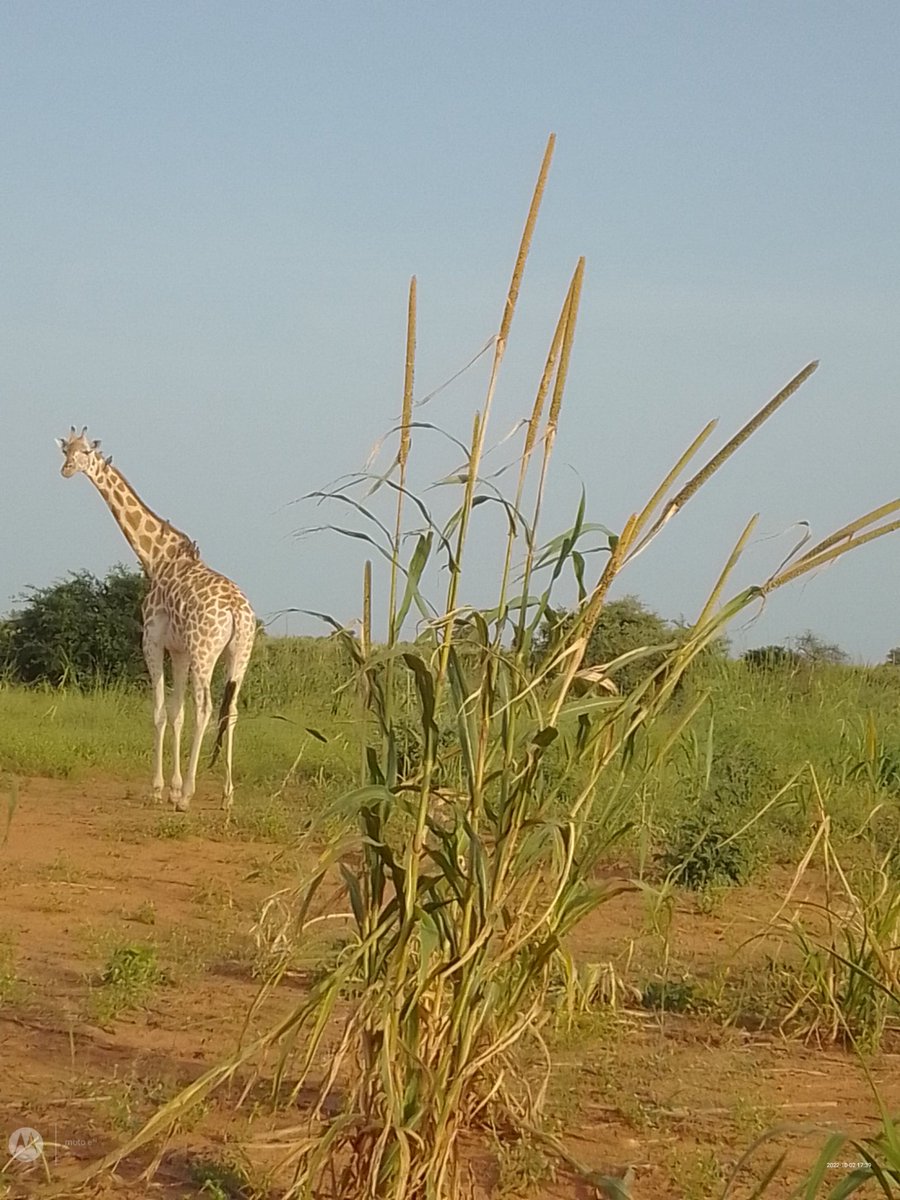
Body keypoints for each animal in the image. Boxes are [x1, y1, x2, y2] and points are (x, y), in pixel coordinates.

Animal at [57, 427, 256, 813]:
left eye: (86, 451)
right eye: (65, 450)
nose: (67, 469)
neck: (157, 558)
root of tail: (237, 612)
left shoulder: (152, 640)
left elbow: (160, 711)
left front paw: (160, 789)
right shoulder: (178, 650)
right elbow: (176, 713)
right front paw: (173, 788)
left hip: (205, 652)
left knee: (206, 708)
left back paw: (191, 794)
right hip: (240, 654)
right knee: (232, 710)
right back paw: (227, 795)